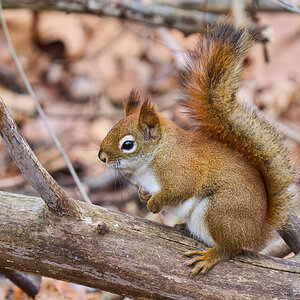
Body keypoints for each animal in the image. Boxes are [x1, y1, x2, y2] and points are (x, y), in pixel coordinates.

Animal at [97, 21, 294, 274]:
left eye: (128, 144)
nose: (101, 157)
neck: (159, 153)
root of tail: (257, 232)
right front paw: (143, 194)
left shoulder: (181, 169)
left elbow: (180, 189)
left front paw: (154, 203)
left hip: (219, 212)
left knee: (230, 250)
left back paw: (210, 256)